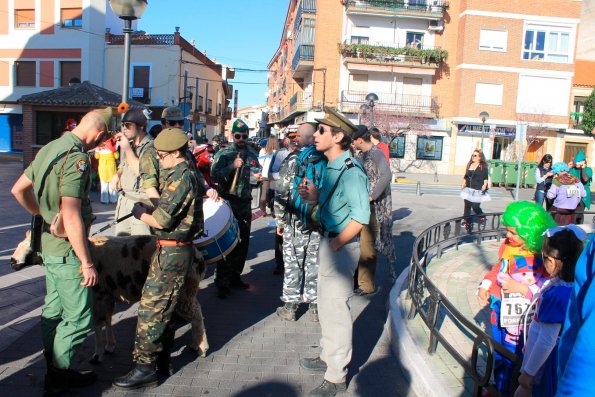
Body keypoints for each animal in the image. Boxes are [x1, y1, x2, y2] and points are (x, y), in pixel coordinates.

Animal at [9, 230, 210, 364]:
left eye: (29, 245)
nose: (11, 261)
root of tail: (199, 256)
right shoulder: (108, 294)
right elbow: (107, 319)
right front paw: (110, 346)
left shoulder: (98, 294)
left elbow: (97, 324)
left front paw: (97, 355)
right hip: (187, 289)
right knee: (195, 310)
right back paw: (195, 344)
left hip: (184, 289)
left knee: (196, 314)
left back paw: (201, 348)